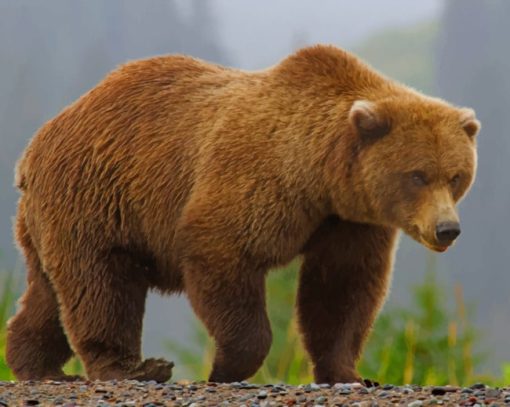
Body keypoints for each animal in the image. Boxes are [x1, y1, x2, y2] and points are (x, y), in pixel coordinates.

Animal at [5, 45, 480, 386]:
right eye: (417, 175)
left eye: (456, 176)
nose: (448, 229)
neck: (320, 176)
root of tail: (36, 145)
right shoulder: (256, 180)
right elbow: (223, 252)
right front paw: (225, 367)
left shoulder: (350, 221)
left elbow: (341, 289)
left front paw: (350, 373)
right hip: (97, 196)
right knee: (100, 285)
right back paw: (131, 368)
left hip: (53, 217)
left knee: (49, 292)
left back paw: (35, 364)